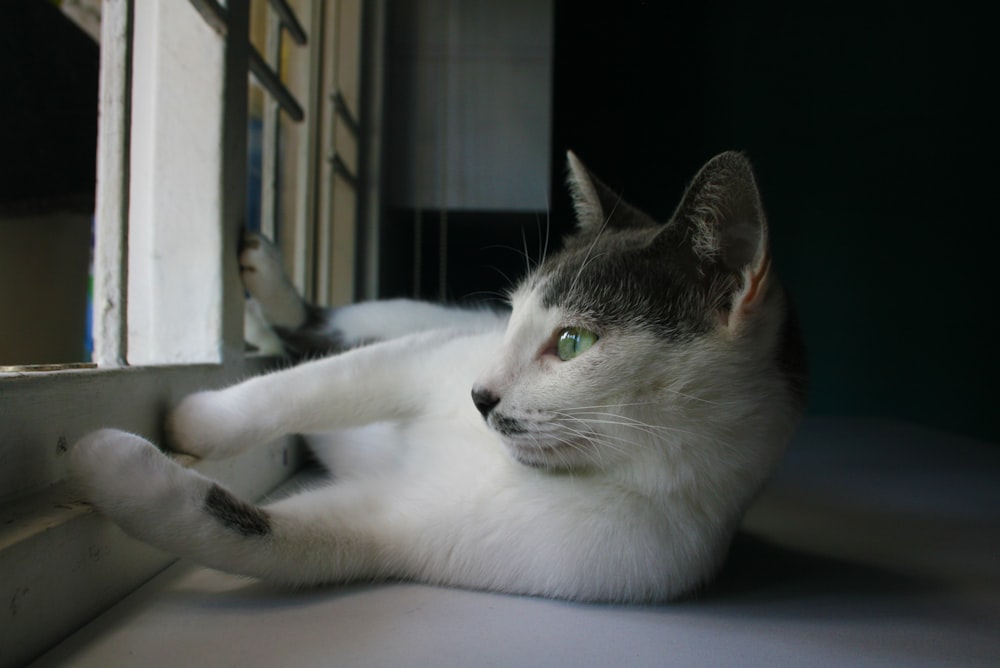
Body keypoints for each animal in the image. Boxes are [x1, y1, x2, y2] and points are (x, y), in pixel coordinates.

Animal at [68, 153, 804, 604]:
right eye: (511, 318)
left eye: (573, 342)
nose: (478, 396)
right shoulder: (424, 357)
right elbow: (319, 383)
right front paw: (197, 419)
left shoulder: (418, 532)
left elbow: (260, 533)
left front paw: (109, 466)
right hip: (406, 315)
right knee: (321, 332)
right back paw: (264, 282)